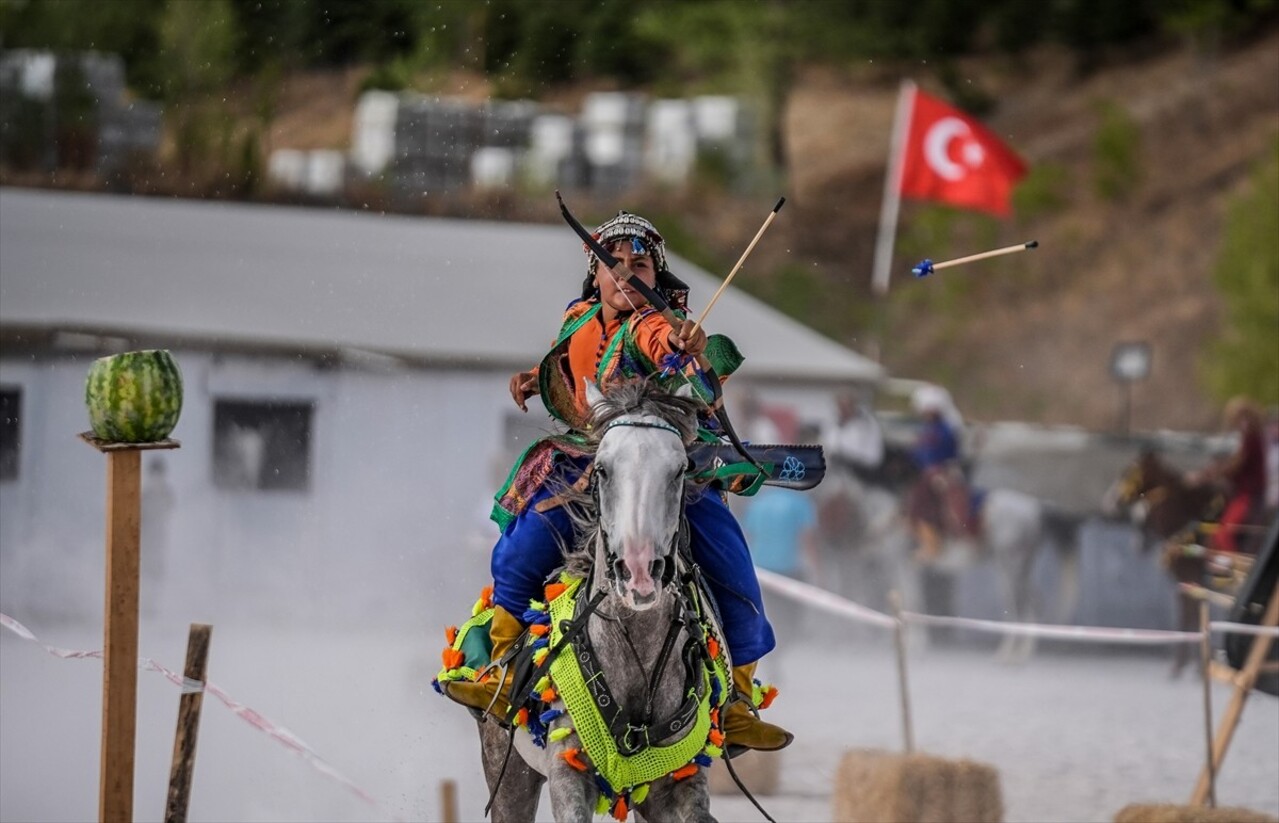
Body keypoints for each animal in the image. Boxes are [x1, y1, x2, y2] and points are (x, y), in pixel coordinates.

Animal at [478, 383, 721, 823]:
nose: (639, 570)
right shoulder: (567, 771)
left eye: (680, 470)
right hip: (506, 770)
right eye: (602, 469)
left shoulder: (680, 780)